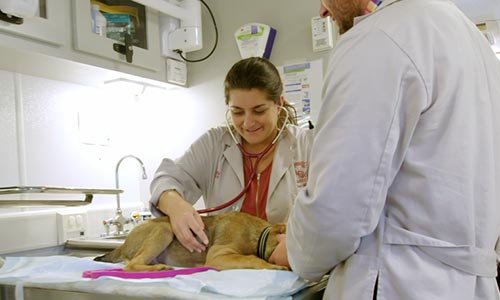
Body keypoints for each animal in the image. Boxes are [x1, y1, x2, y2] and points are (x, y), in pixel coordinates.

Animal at [94, 211, 290, 272]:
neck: (261, 235)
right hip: (165, 229)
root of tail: (123, 245)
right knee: (130, 266)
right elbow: (251, 258)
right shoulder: (218, 255)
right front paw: (272, 266)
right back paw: (159, 268)